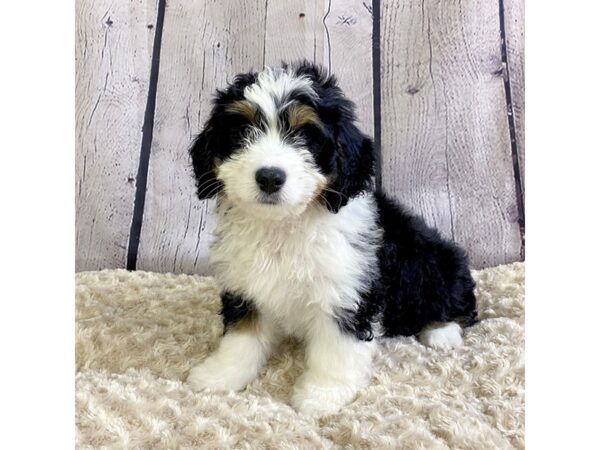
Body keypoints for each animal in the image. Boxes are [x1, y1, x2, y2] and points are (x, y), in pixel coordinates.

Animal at [185, 61, 476, 414]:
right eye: (242, 133)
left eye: (306, 136)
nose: (269, 177)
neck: (285, 225)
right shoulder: (245, 286)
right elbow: (242, 336)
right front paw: (220, 375)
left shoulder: (347, 292)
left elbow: (337, 349)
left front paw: (322, 394)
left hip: (438, 263)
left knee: (460, 303)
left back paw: (441, 333)